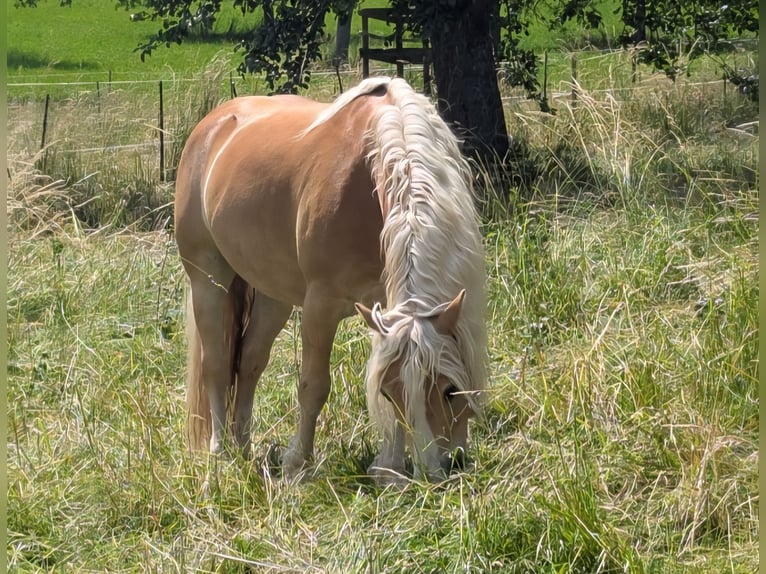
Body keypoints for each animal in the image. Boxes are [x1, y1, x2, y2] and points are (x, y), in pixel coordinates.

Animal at [174, 76, 487, 484]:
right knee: (216, 363)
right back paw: (222, 452)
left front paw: (388, 468)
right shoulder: (320, 306)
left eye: (450, 390)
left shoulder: (383, 307)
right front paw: (297, 464)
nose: (435, 472)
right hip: (209, 280)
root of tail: (210, 126)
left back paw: (243, 447)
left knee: (249, 362)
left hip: (273, 296)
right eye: (390, 394)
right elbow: (313, 386)